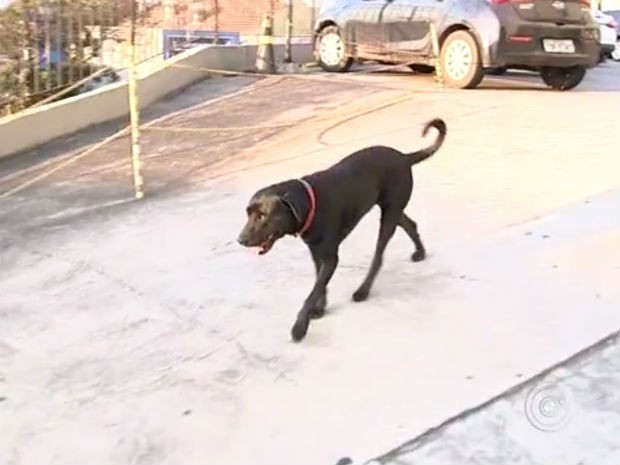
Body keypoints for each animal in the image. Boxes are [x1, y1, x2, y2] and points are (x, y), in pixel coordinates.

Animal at [237, 116, 446, 340]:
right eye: (248, 213)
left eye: (262, 215)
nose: (240, 239)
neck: (308, 203)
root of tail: (404, 157)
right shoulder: (316, 252)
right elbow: (319, 284)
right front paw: (319, 309)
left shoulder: (330, 257)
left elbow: (314, 290)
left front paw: (300, 326)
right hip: (392, 208)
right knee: (409, 224)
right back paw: (420, 252)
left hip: (388, 216)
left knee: (378, 256)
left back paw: (363, 290)